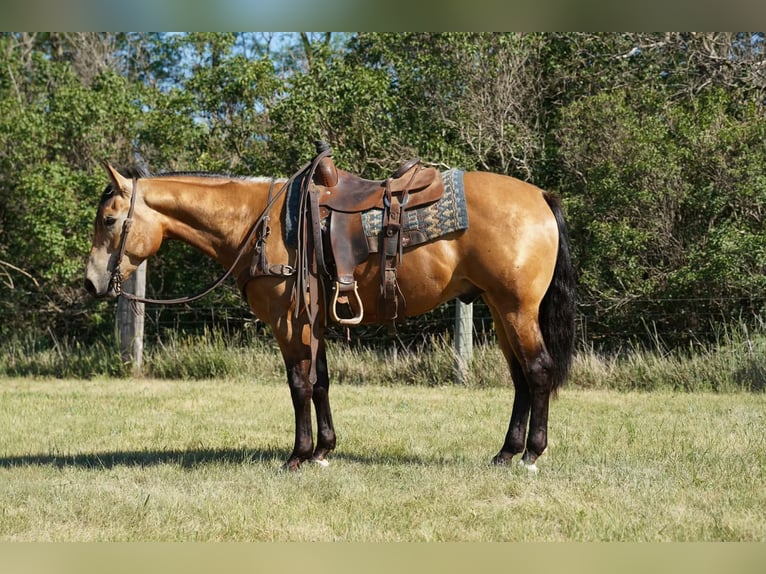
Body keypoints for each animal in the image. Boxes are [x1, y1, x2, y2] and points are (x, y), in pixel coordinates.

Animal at [84, 155, 576, 473]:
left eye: (108, 220)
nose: (90, 283)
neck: (259, 224)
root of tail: (540, 196)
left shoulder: (289, 323)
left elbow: (299, 384)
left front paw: (298, 455)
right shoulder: (313, 322)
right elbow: (320, 383)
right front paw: (324, 450)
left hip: (516, 309)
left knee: (537, 370)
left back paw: (531, 455)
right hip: (500, 309)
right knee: (519, 378)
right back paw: (506, 452)